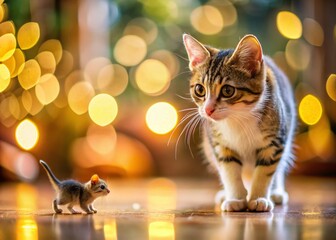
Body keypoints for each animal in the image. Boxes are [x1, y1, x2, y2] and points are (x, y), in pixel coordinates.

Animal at [182, 34, 296, 212]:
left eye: (228, 90)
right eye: (200, 89)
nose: (208, 110)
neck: (237, 118)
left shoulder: (275, 142)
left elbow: (265, 171)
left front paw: (258, 198)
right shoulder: (219, 144)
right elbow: (230, 171)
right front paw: (236, 198)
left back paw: (276, 193)